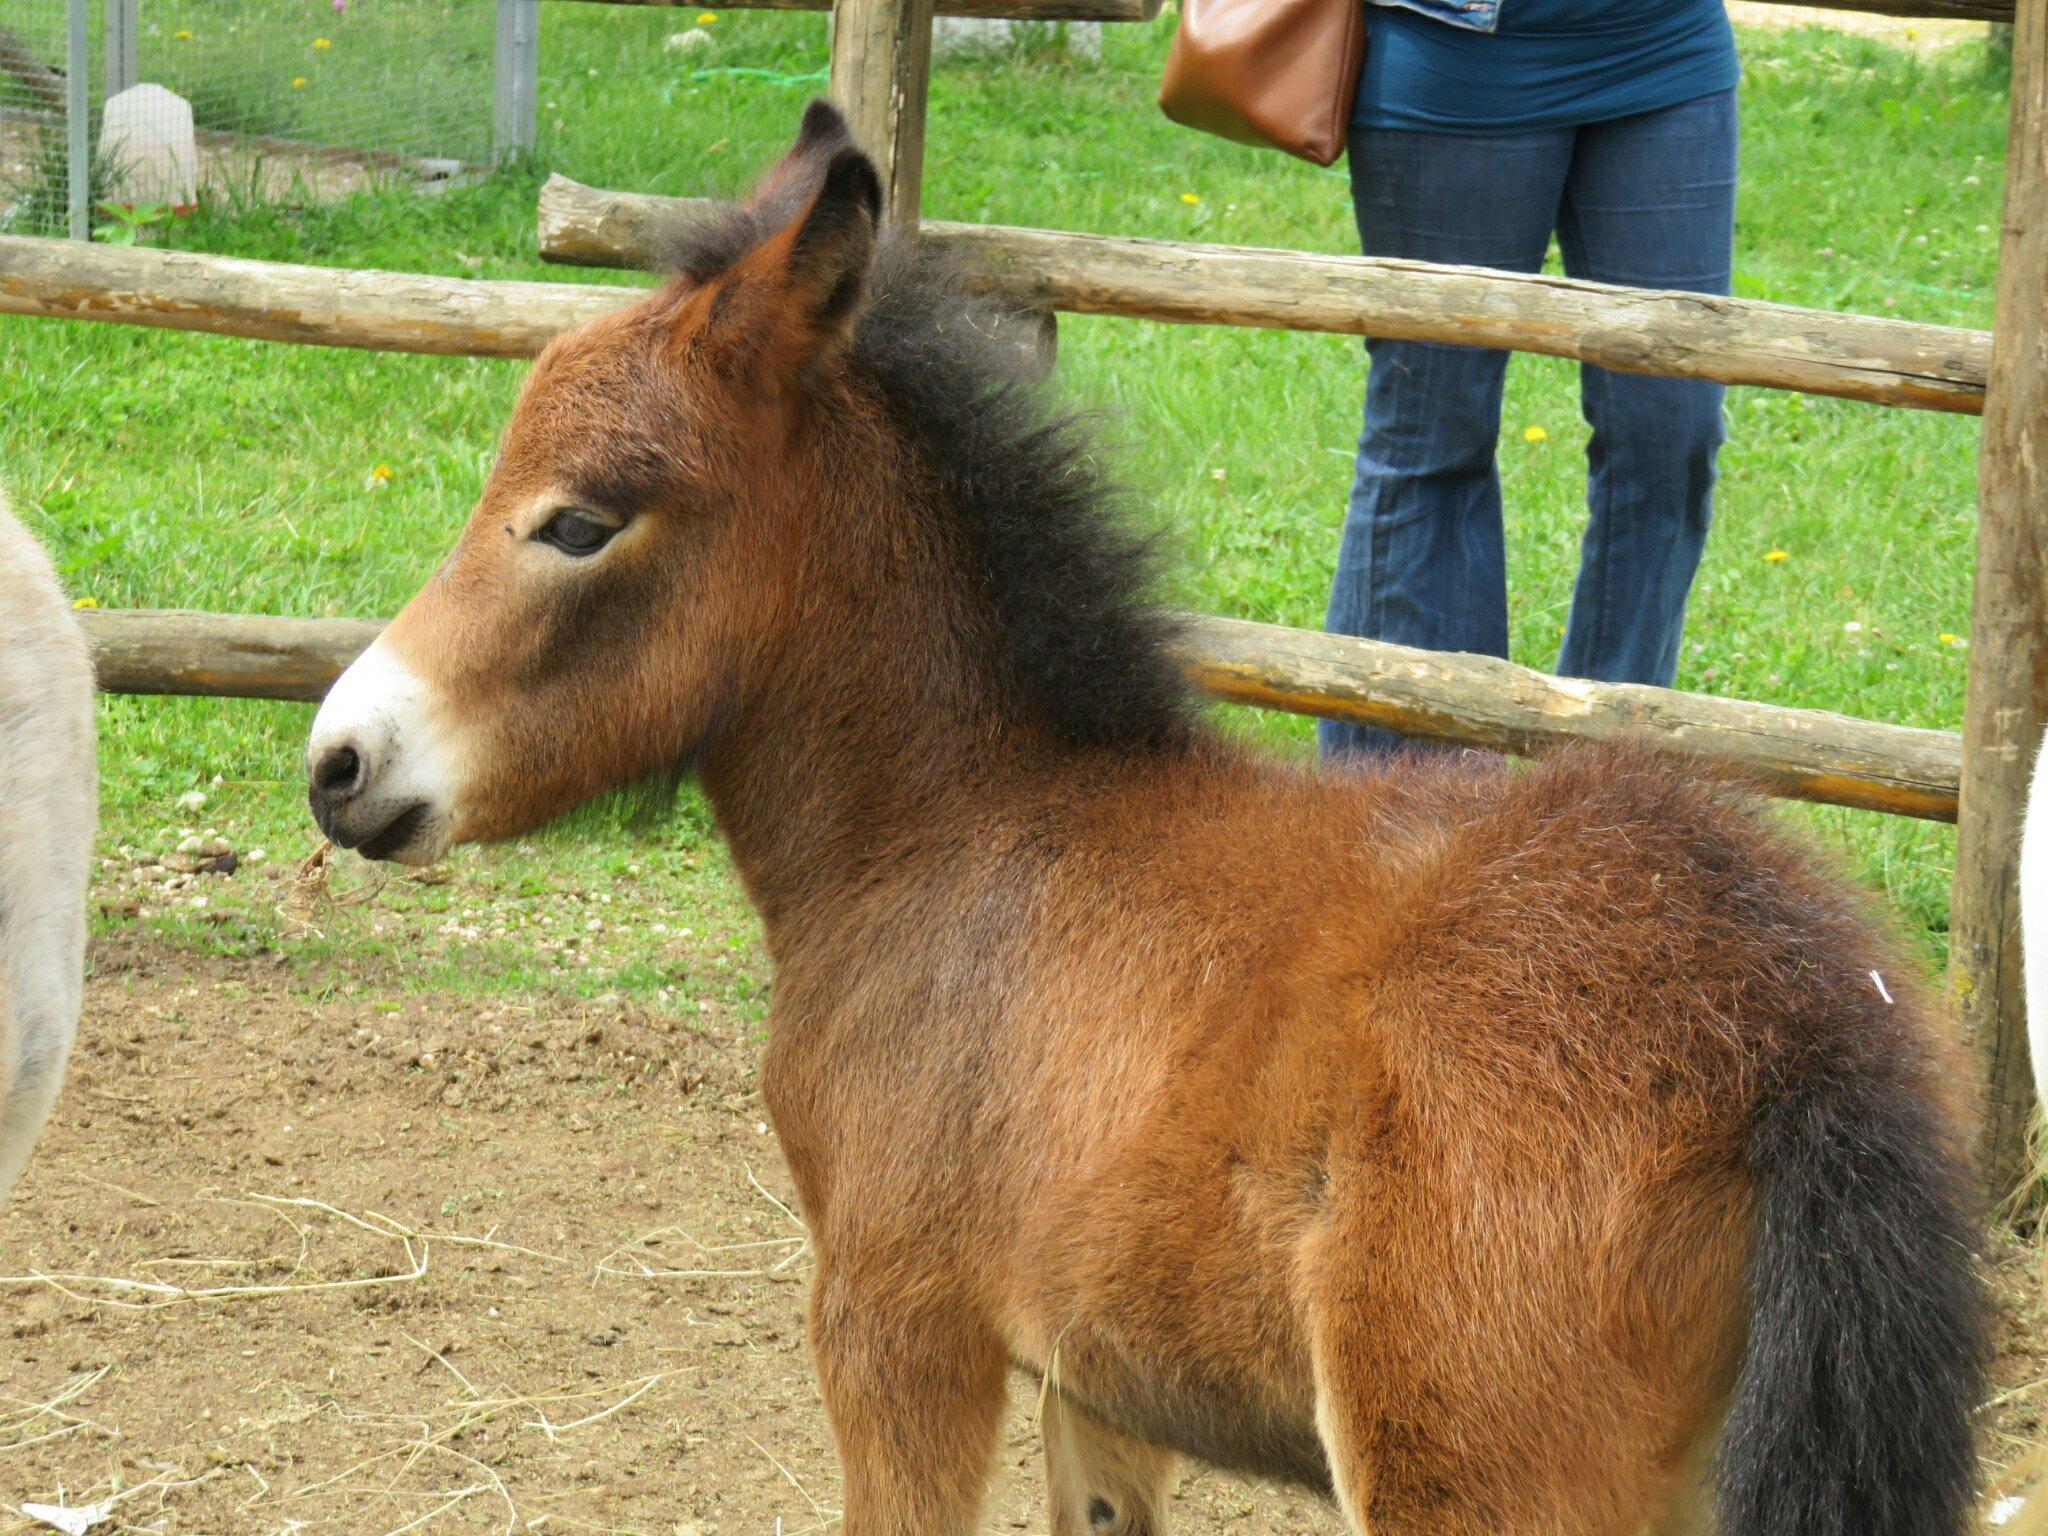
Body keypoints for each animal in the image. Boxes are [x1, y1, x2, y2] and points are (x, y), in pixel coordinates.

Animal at [311, 105, 1990, 1536]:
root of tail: (1790, 1025)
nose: (339, 762)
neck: (960, 831)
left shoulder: (895, 1325)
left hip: (1475, 1467)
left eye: (581, 520)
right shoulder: (1097, 1375)